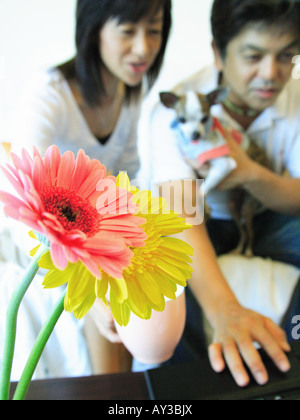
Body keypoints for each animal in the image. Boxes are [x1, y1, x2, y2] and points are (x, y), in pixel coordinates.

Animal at [161, 88, 270, 256]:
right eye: (181, 120)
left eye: (205, 119)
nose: (195, 134)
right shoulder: (198, 172)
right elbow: (201, 188)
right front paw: (206, 207)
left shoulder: (224, 165)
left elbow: (202, 191)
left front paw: (203, 207)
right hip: (234, 206)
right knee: (243, 231)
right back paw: (238, 249)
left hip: (248, 206)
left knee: (250, 232)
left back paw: (248, 252)